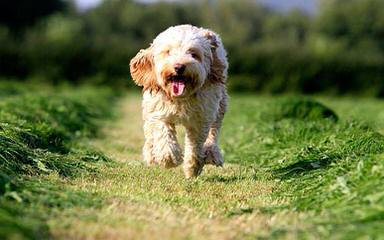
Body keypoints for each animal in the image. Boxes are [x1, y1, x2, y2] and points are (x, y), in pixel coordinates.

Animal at [129, 24, 228, 178]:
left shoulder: (201, 119)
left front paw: (192, 168)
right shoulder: (159, 112)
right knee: (150, 133)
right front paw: (169, 158)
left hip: (220, 106)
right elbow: (163, 133)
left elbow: (195, 145)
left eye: (193, 54)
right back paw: (151, 154)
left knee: (214, 131)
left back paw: (212, 153)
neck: (180, 99)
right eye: (168, 52)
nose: (179, 67)